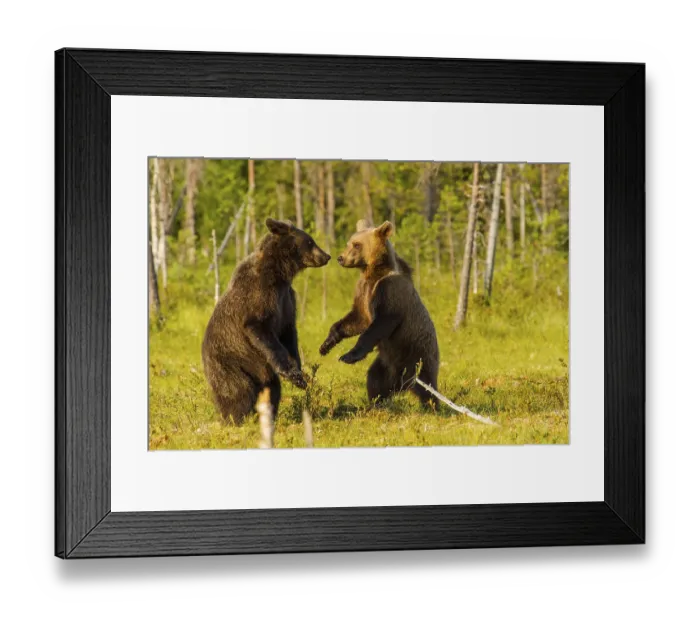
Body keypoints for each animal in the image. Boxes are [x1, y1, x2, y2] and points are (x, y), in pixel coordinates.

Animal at [201, 218, 330, 448]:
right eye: (310, 241)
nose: (326, 256)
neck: (280, 274)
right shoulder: (259, 296)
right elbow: (261, 330)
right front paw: (293, 374)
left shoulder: (287, 300)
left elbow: (289, 334)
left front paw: (299, 371)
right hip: (230, 363)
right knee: (238, 391)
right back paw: (236, 420)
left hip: (260, 371)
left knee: (272, 390)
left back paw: (267, 416)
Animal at [319, 219, 439, 407]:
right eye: (348, 243)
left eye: (357, 244)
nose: (340, 258)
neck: (374, 273)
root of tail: (401, 383)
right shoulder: (363, 291)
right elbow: (357, 318)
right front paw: (326, 344)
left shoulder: (389, 290)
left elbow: (380, 323)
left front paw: (349, 356)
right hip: (386, 363)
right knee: (375, 380)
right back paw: (376, 403)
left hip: (418, 354)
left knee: (426, 385)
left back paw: (433, 406)